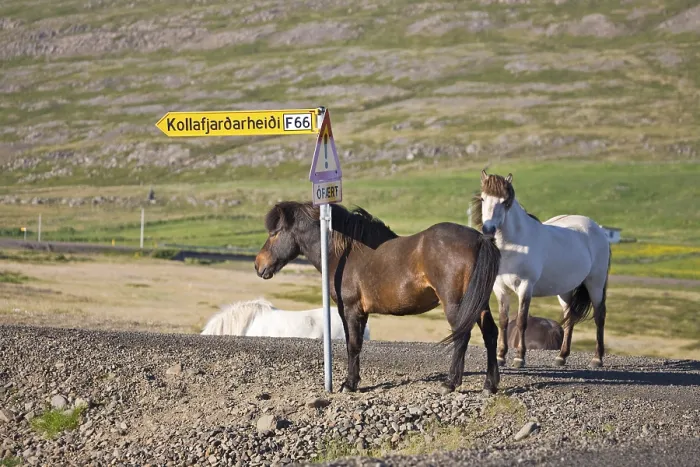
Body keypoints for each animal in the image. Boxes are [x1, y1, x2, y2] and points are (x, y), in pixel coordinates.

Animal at [254, 201, 502, 395]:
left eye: (274, 233)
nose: (258, 264)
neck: (345, 253)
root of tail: (480, 239)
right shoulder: (360, 313)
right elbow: (356, 344)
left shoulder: (350, 309)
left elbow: (353, 345)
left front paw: (349, 384)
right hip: (479, 303)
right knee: (490, 333)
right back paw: (490, 385)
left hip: (455, 304)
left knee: (462, 336)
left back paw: (450, 383)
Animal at [472, 169, 611, 369]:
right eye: (483, 199)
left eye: (505, 202)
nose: (488, 229)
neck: (515, 244)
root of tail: (598, 229)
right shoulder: (500, 288)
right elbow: (503, 321)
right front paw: (500, 356)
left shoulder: (525, 287)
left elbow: (522, 321)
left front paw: (519, 358)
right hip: (565, 291)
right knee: (569, 318)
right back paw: (561, 357)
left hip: (596, 283)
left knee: (599, 316)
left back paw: (597, 359)